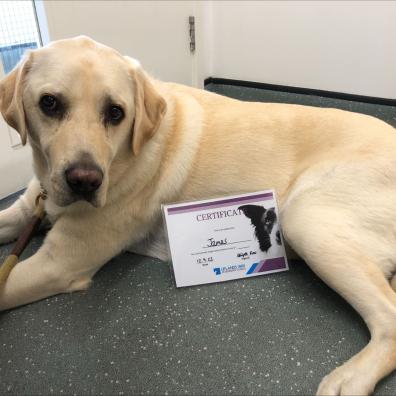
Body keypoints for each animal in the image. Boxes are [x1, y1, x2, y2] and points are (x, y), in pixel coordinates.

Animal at [0, 35, 396, 394]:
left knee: (389, 318)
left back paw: (349, 379)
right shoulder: (28, 210)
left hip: (304, 218)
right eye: (49, 103)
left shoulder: (59, 263)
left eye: (115, 112)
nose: (85, 181)